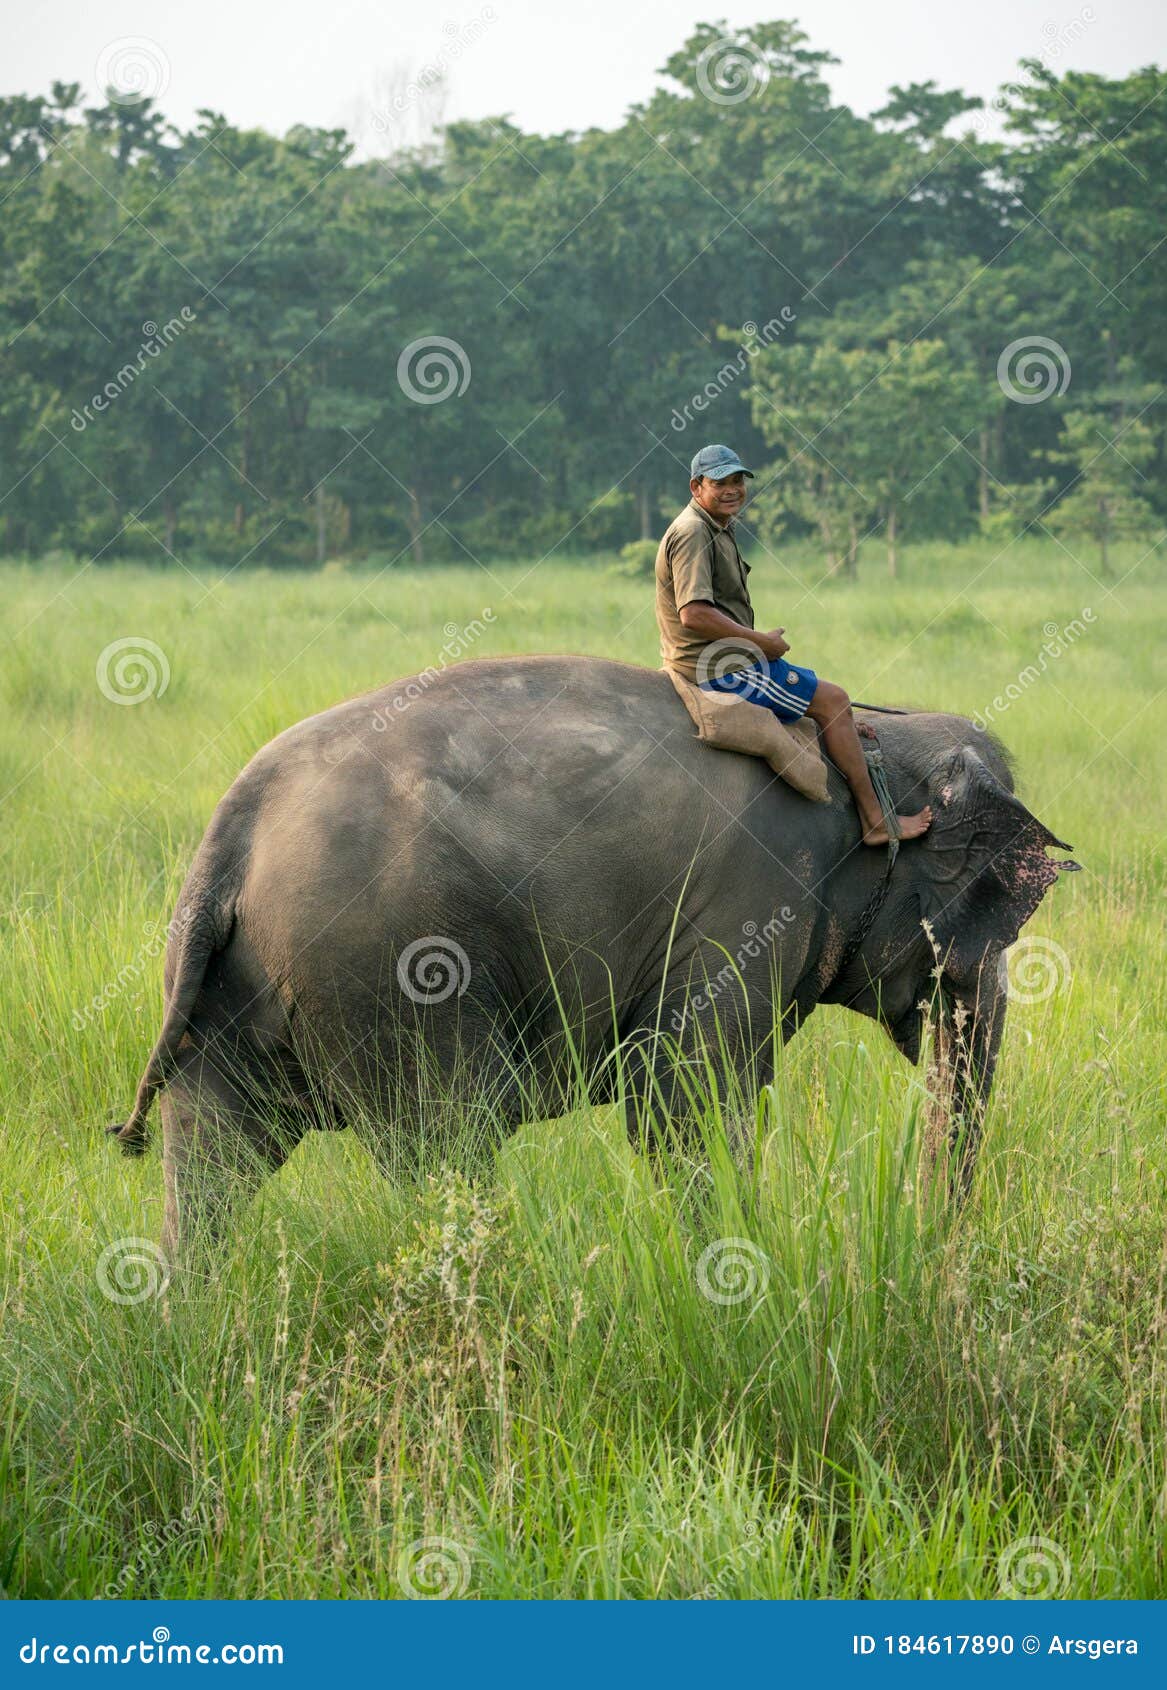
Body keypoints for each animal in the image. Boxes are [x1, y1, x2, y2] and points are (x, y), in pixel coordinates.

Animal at [107, 655, 1074, 1257]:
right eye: (1002, 904)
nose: (932, 1251)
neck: (873, 747)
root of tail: (231, 833)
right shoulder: (751, 903)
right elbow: (682, 1098)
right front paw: (738, 1264)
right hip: (387, 970)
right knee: (444, 1144)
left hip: (229, 986)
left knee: (214, 1166)